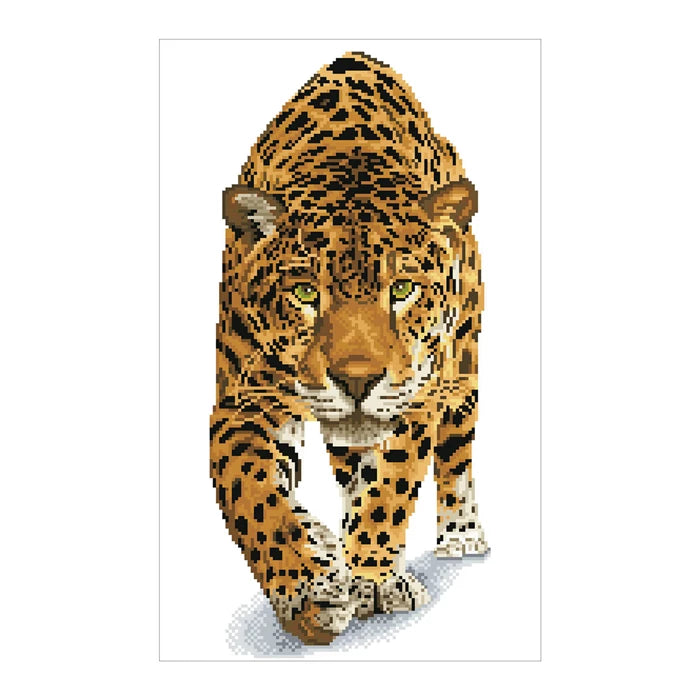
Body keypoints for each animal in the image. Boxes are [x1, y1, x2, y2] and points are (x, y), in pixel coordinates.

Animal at [210, 51, 488, 645]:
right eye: (304, 292)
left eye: (402, 290)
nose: (357, 379)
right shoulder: (244, 403)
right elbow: (251, 494)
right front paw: (309, 590)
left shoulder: (418, 396)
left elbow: (392, 484)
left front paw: (374, 579)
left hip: (464, 367)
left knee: (456, 451)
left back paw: (460, 532)